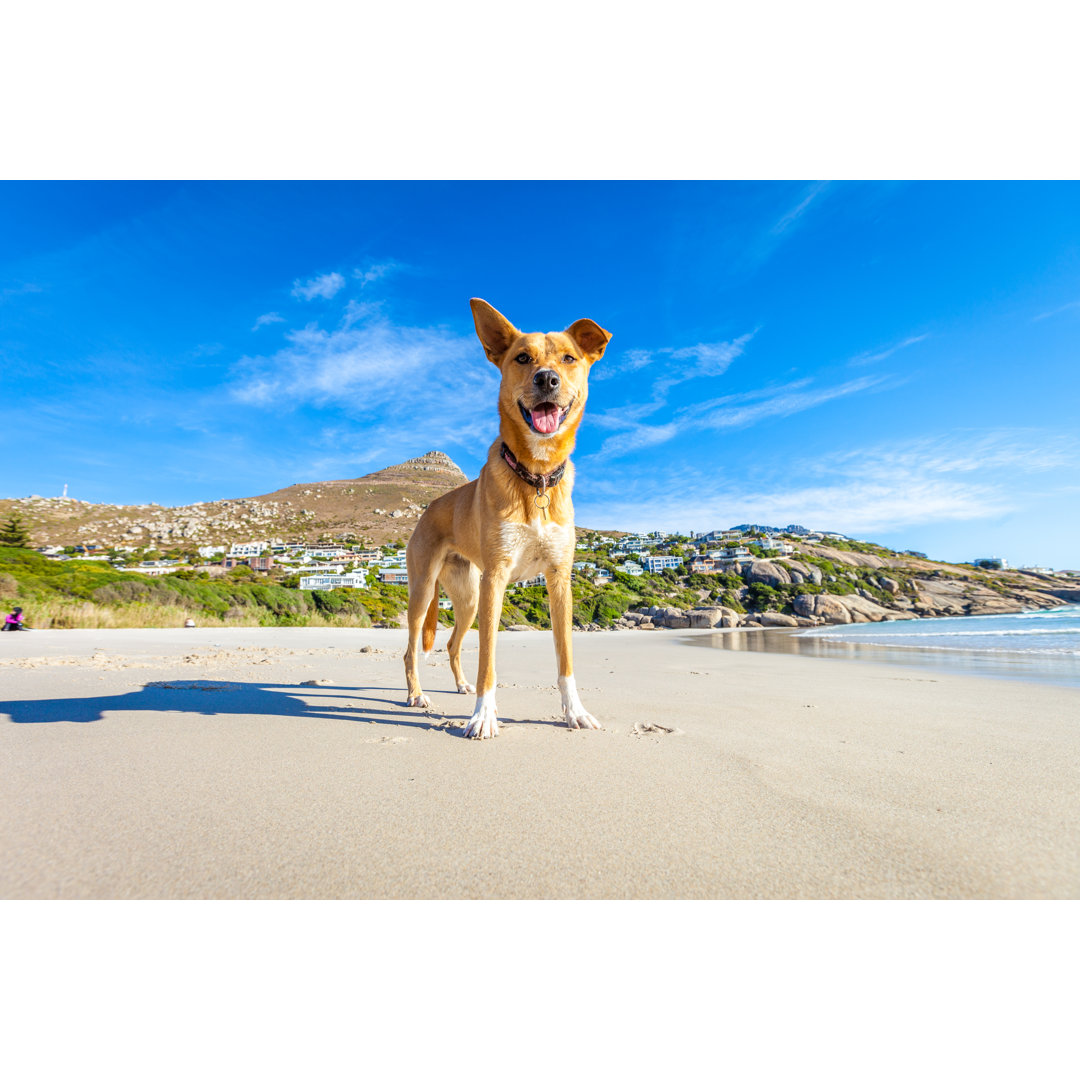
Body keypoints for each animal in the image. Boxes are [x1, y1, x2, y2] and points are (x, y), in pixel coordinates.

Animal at [401, 298, 613, 734]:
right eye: (522, 358)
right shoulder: (495, 579)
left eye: (569, 358)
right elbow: (489, 661)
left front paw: (575, 712)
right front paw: (483, 717)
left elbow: (566, 658)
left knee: (451, 644)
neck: (536, 476)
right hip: (425, 589)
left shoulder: (559, 579)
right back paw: (416, 695)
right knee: (412, 649)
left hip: (467, 597)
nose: (547, 379)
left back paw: (461, 686)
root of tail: (430, 508)